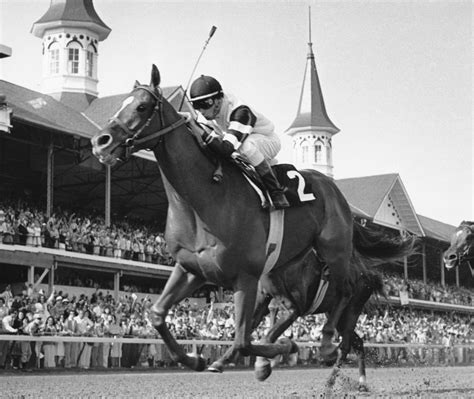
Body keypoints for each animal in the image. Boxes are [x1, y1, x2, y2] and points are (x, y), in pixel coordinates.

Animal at [89, 64, 414, 374]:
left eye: (142, 107)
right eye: (122, 103)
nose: (100, 141)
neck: (203, 200)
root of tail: (335, 190)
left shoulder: (246, 278)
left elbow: (244, 340)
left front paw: (281, 351)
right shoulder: (192, 269)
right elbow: (158, 315)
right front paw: (196, 359)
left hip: (334, 249)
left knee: (345, 293)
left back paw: (325, 344)